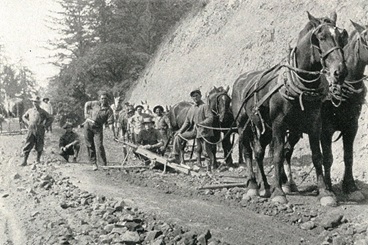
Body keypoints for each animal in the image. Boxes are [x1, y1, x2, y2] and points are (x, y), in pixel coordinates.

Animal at [231, 11, 346, 207]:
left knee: (259, 153)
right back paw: (253, 186)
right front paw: (279, 192)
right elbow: (278, 155)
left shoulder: (314, 125)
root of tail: (240, 79)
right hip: (243, 125)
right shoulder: (278, 124)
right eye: (321, 37)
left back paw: (265, 186)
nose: (340, 71)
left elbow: (317, 156)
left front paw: (325, 192)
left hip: (265, 129)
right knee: (247, 152)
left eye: (341, 36)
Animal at [284, 20, 366, 201]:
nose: (339, 72)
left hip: (295, 130)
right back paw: (285, 183)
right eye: (366, 39)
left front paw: (351, 187)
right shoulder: (325, 129)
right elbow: (327, 158)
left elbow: (348, 156)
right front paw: (327, 187)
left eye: (342, 38)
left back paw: (289, 183)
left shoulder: (352, 127)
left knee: (286, 149)